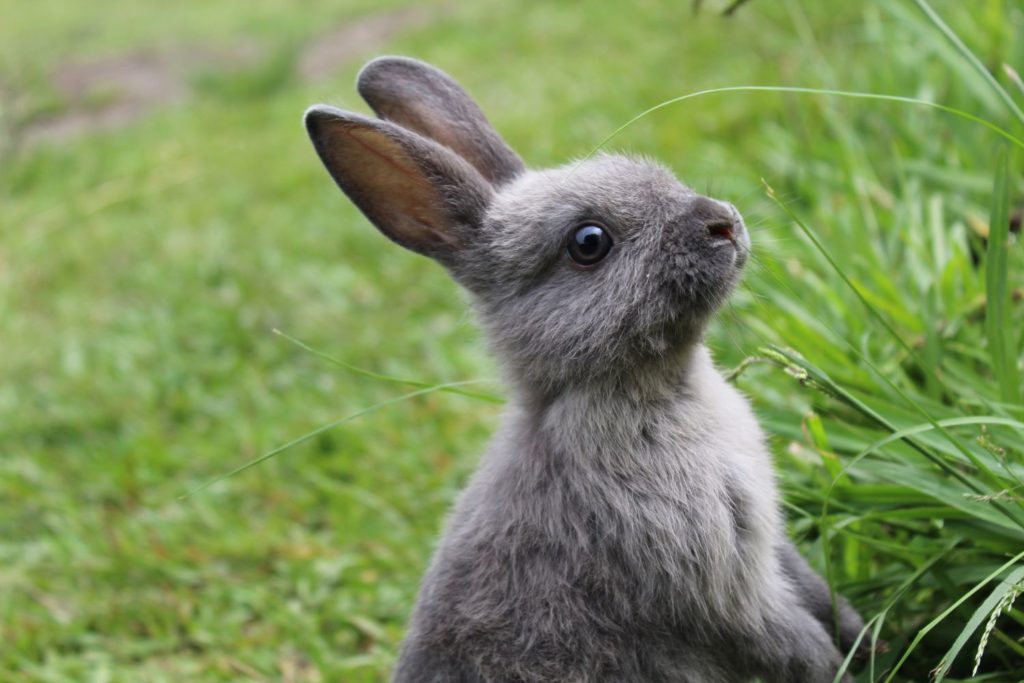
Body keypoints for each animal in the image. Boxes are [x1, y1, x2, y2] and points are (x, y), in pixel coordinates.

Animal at [304, 56, 866, 683]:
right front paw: (844, 664)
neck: (652, 388)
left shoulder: (765, 550)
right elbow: (788, 640)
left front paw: (864, 636)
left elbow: (814, 591)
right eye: (589, 242)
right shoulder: (723, 588)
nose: (723, 223)